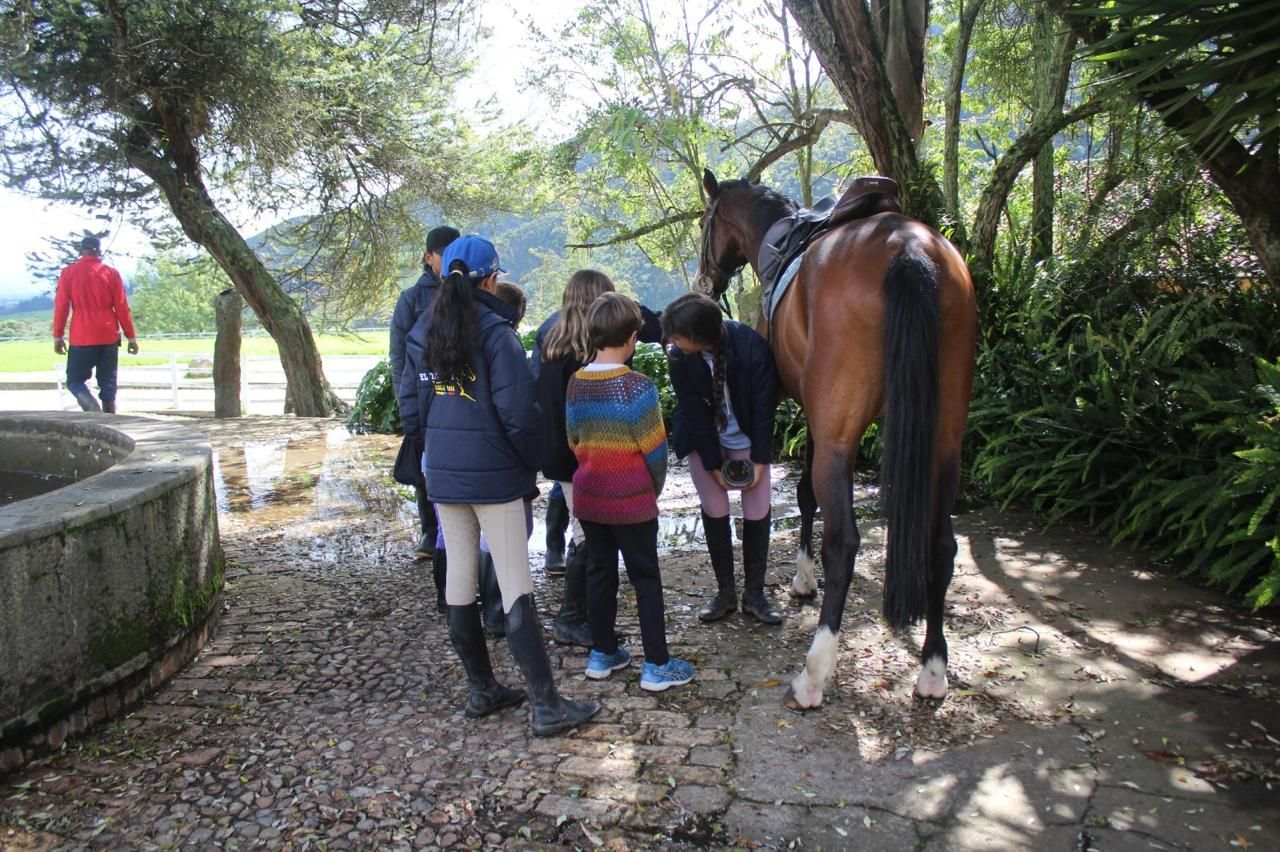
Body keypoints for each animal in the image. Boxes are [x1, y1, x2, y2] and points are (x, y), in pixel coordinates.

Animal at [696, 169, 977, 708]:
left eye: (706, 222)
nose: (705, 282)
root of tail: (910, 250)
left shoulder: (799, 407)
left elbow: (804, 494)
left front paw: (804, 580)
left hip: (838, 437)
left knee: (843, 542)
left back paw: (815, 672)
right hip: (945, 440)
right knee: (941, 545)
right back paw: (933, 667)